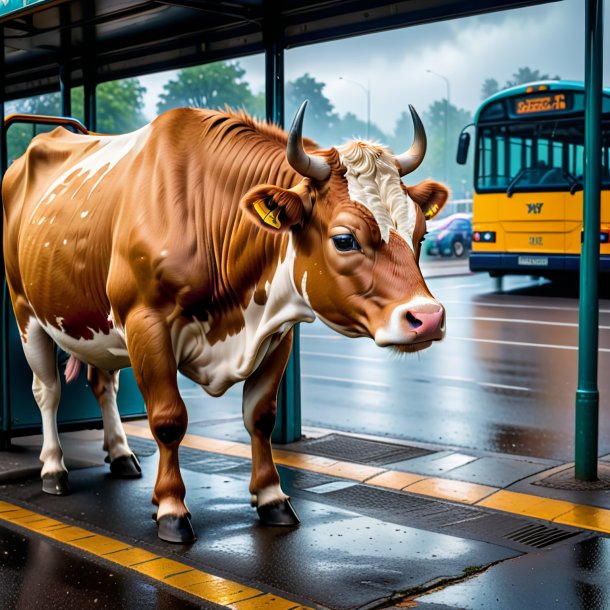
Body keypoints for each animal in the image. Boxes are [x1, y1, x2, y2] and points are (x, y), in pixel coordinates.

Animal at [3, 103, 446, 540]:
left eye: (422, 234)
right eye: (344, 239)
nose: (428, 317)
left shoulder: (278, 331)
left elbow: (260, 416)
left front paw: (271, 498)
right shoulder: (145, 323)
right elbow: (168, 418)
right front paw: (171, 508)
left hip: (98, 326)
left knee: (103, 382)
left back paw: (120, 453)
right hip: (27, 313)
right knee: (47, 391)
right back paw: (53, 468)